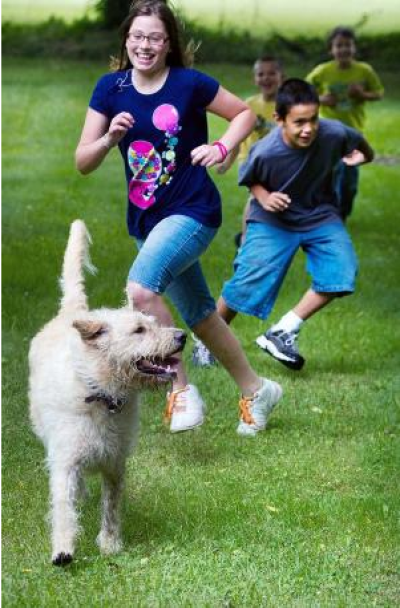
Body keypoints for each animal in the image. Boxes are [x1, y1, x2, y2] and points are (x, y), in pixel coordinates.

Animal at [29, 221, 186, 568]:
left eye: (153, 323)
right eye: (139, 330)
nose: (182, 336)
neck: (103, 395)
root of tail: (72, 313)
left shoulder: (115, 465)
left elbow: (111, 508)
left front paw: (110, 545)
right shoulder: (64, 461)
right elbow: (63, 507)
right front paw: (63, 549)